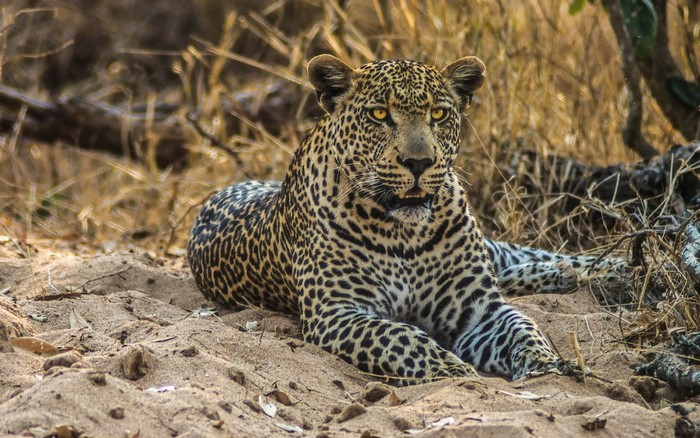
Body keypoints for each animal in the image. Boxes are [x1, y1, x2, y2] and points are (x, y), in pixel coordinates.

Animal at [187, 54, 624, 384]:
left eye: (439, 114)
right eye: (380, 114)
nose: (419, 162)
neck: (404, 233)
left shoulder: (480, 308)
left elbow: (522, 327)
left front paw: (546, 362)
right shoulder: (338, 312)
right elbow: (399, 336)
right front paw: (452, 369)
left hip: (491, 248)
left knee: (520, 256)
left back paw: (608, 268)